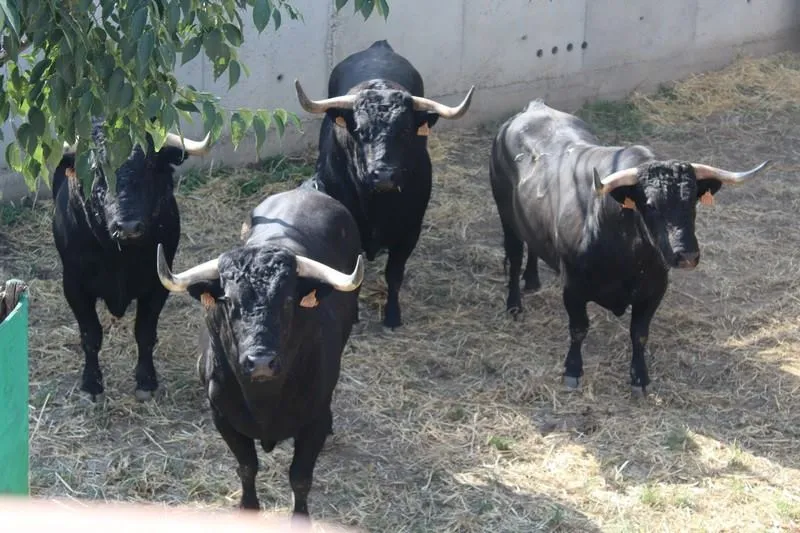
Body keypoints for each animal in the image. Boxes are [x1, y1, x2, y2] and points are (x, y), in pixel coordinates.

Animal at [51, 118, 211, 402]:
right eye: (96, 168)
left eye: (149, 165)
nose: (127, 226)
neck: (119, 255)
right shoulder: (74, 286)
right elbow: (90, 335)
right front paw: (91, 384)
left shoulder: (158, 285)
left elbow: (144, 333)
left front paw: (146, 381)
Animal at [154, 186, 366, 516]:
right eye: (228, 300)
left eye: (289, 300)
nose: (261, 361)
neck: (264, 400)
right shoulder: (223, 417)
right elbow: (247, 467)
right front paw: (249, 507)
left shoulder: (315, 421)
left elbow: (300, 478)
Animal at [294, 38, 476, 328]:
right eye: (359, 130)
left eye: (405, 130)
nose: (383, 175)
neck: (376, 205)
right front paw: (355, 315)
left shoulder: (410, 231)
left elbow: (394, 274)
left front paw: (392, 315)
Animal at [488, 100, 768, 394]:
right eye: (651, 205)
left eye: (693, 202)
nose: (687, 255)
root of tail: (534, 107)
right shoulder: (573, 286)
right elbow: (578, 329)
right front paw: (573, 370)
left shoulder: (654, 289)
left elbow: (639, 334)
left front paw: (640, 377)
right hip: (505, 213)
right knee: (514, 255)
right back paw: (514, 304)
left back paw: (532, 280)